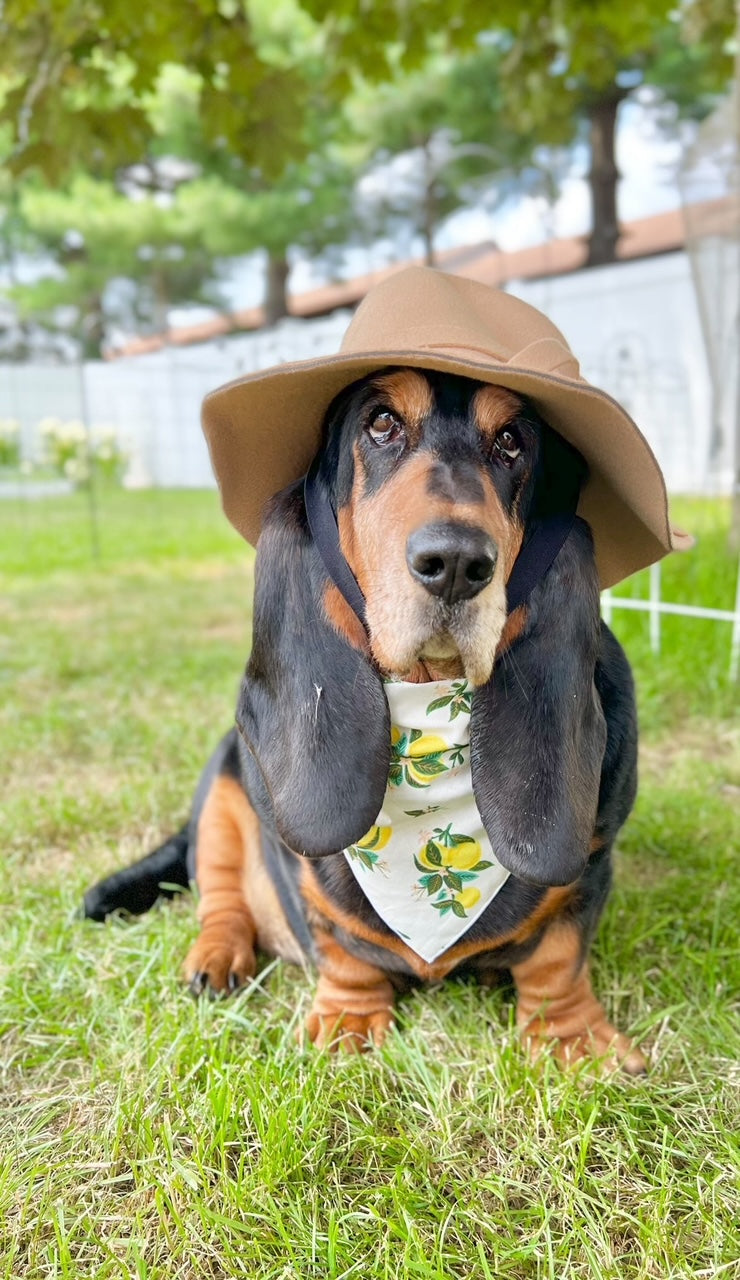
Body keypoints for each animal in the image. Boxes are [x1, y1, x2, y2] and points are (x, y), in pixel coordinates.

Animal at [81, 368, 645, 1070]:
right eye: (381, 423)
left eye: (512, 441)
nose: (456, 564)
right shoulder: (297, 869)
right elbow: (338, 943)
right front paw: (347, 1022)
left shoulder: (591, 865)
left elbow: (559, 956)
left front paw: (574, 1039)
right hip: (220, 790)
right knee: (219, 893)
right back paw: (216, 958)